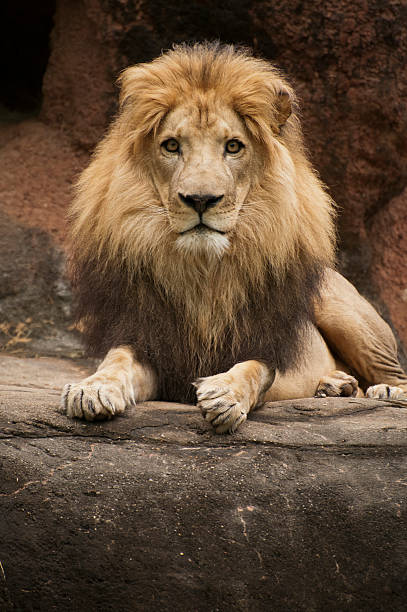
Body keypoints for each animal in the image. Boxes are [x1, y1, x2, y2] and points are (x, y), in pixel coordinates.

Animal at [61, 43, 407, 432]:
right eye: (171, 146)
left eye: (233, 147)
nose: (200, 199)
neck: (204, 274)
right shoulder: (152, 344)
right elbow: (116, 359)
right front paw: (93, 388)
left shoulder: (268, 347)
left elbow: (253, 368)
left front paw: (225, 393)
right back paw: (334, 385)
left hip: (344, 312)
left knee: (393, 374)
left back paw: (386, 392)